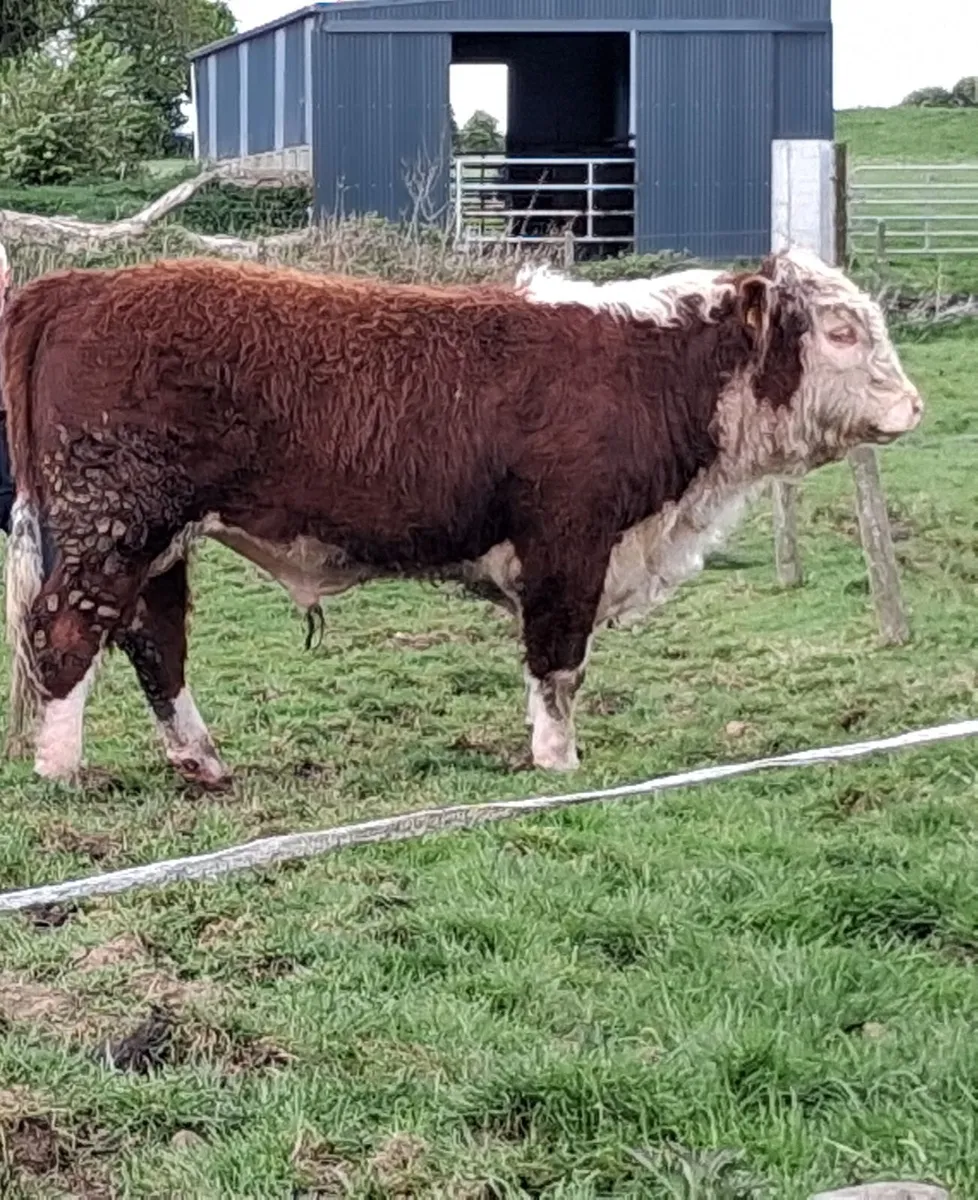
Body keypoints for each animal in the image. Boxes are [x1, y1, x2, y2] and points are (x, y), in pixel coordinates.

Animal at [1, 248, 922, 787]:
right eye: (842, 329)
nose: (913, 405)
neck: (650, 369)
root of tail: (82, 284)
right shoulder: (569, 543)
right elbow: (557, 665)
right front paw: (559, 763)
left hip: (157, 542)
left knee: (153, 643)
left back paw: (202, 761)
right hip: (111, 525)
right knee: (65, 634)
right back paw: (61, 771)